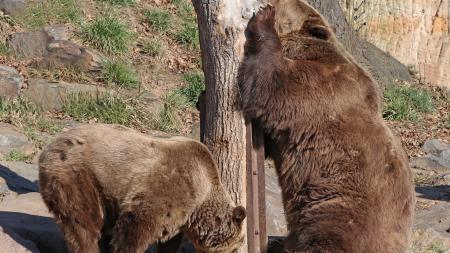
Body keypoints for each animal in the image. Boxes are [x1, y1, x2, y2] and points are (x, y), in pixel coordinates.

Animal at [38, 124, 246, 253]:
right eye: (236, 246)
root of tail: (48, 147)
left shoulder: (181, 216)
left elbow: (169, 240)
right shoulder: (172, 185)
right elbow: (136, 226)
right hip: (79, 176)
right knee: (85, 224)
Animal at [239, 3, 414, 253]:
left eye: (282, 4)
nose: (268, 4)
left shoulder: (319, 89)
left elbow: (269, 82)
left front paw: (263, 19)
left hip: (337, 209)